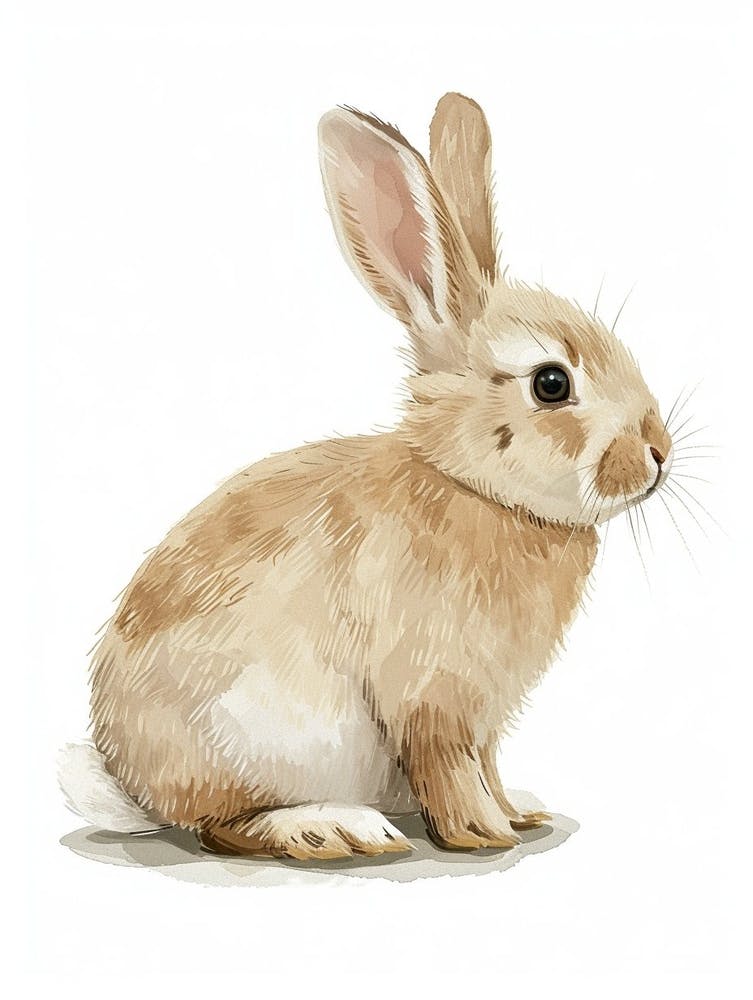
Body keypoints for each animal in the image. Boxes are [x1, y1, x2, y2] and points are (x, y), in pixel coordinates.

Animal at [59, 93, 673, 859]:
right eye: (551, 383)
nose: (658, 452)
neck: (475, 491)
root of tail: (131, 783)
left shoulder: (485, 716)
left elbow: (488, 762)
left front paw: (517, 816)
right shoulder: (431, 696)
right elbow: (449, 767)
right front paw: (483, 833)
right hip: (258, 734)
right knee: (225, 826)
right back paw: (331, 827)